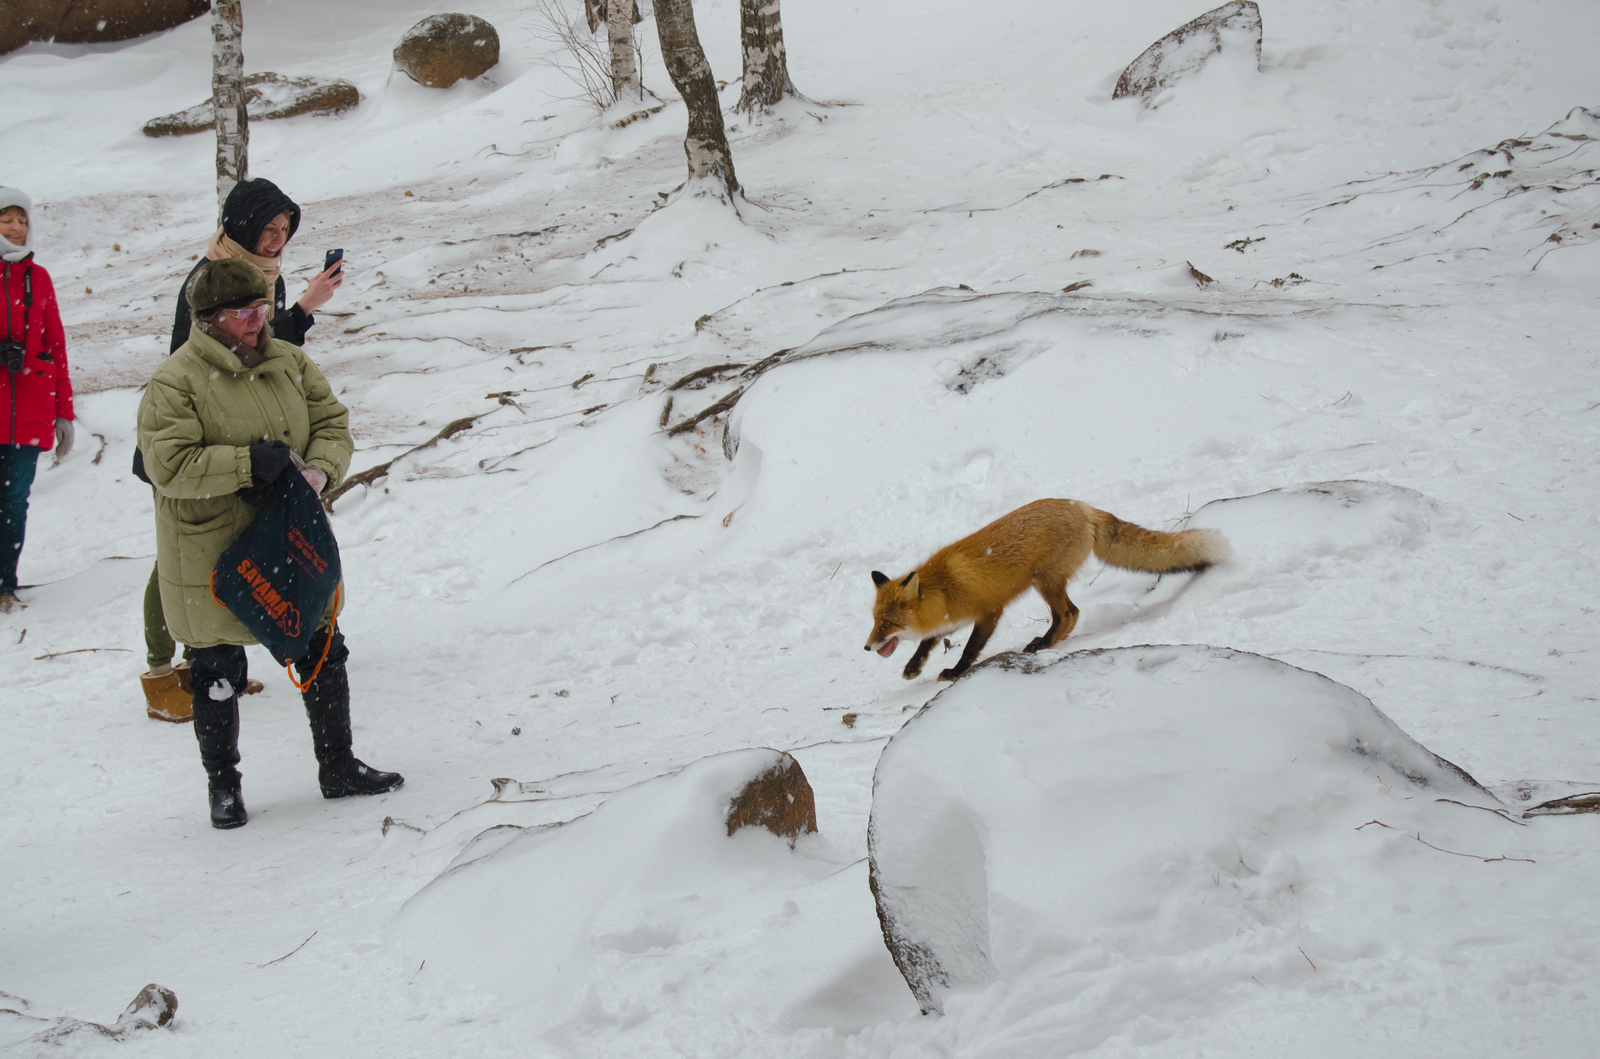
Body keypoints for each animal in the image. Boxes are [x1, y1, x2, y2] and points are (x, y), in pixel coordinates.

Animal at [864, 502, 1222, 684]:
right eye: (875, 620)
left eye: (887, 624)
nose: (866, 648)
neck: (943, 589)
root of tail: (1082, 506)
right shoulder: (949, 619)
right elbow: (927, 641)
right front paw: (914, 666)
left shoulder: (989, 611)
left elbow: (969, 648)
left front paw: (955, 671)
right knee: (1071, 614)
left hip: (1044, 580)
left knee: (1069, 613)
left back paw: (1043, 644)